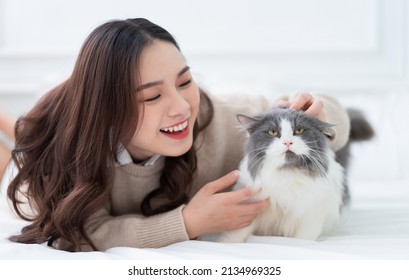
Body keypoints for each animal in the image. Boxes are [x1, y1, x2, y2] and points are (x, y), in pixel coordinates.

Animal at [218, 106, 372, 242]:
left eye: (299, 130)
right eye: (273, 132)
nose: (288, 142)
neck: (287, 173)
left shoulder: (310, 217)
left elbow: (301, 240)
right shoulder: (250, 209)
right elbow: (236, 234)